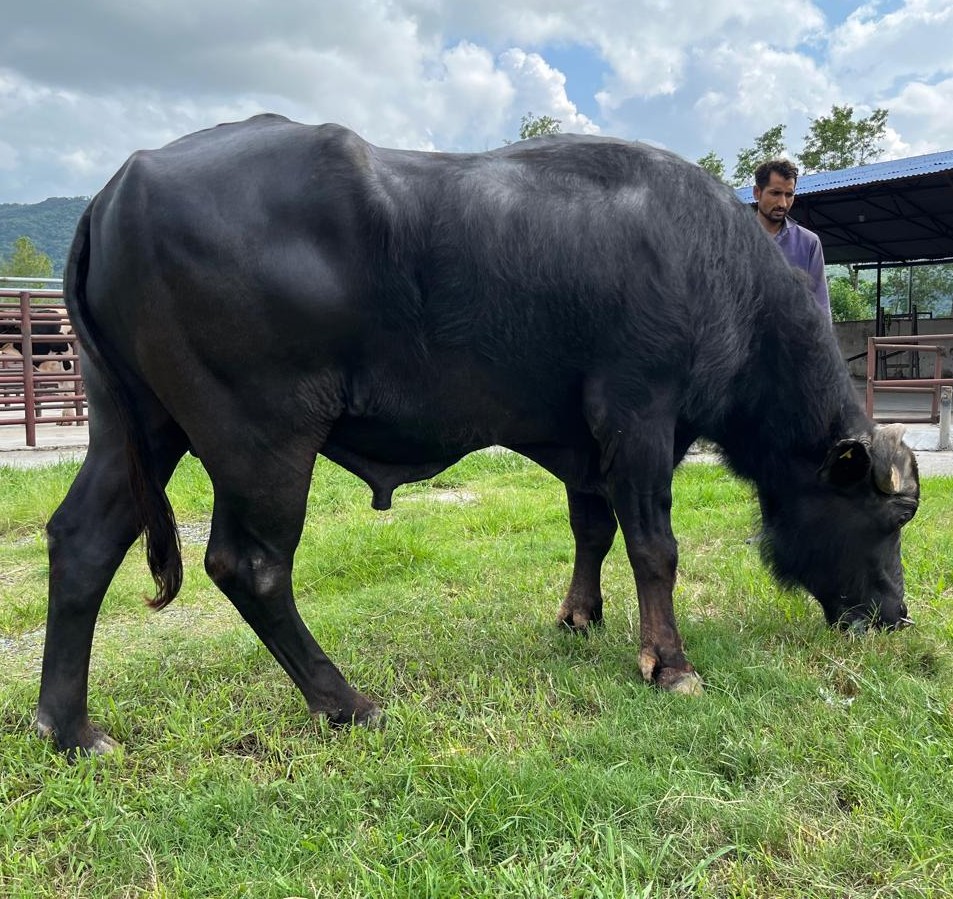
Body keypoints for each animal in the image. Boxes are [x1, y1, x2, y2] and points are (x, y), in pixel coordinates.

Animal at [37, 114, 919, 755]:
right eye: (886, 516)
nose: (893, 613)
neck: (713, 270)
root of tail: (119, 187)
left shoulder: (585, 446)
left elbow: (592, 528)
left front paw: (579, 616)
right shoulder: (638, 419)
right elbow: (653, 546)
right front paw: (668, 663)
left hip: (137, 426)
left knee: (82, 541)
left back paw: (71, 728)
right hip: (261, 439)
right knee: (249, 566)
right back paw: (347, 702)